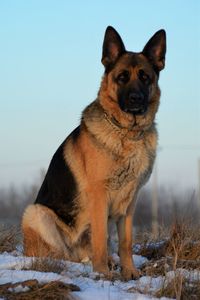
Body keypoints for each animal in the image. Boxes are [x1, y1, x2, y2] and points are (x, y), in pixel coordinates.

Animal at [21, 26, 166, 282]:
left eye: (145, 77)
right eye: (122, 77)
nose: (136, 100)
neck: (127, 133)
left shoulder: (130, 202)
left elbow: (126, 242)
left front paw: (129, 271)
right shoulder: (100, 196)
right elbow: (100, 238)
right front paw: (102, 273)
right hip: (36, 213)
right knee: (59, 254)